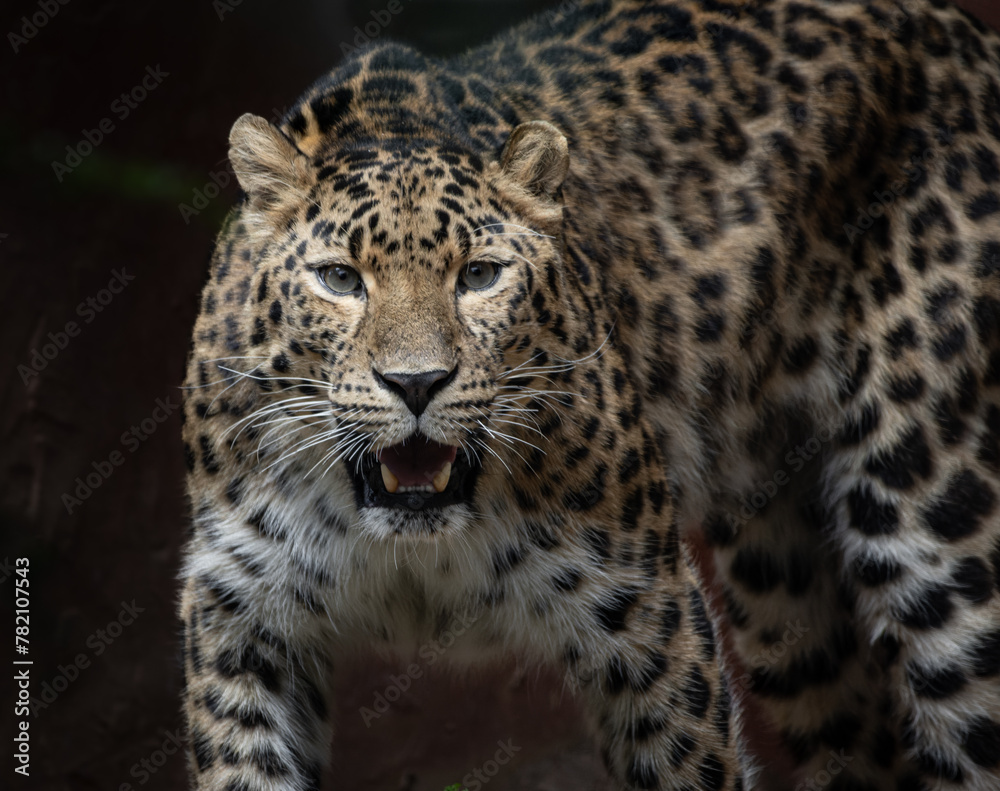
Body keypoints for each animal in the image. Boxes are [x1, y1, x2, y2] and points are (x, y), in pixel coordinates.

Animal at [178, 0, 1000, 789]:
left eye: (480, 275)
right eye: (340, 279)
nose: (416, 383)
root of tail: (960, 30)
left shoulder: (647, 612)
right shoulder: (239, 610)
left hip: (931, 522)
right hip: (780, 578)